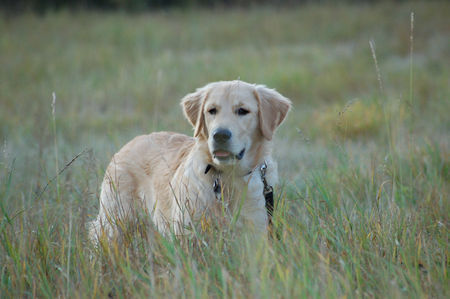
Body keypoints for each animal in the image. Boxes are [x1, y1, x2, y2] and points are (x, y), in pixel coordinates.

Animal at [89, 81, 292, 243]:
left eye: (243, 111)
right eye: (211, 111)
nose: (220, 135)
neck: (227, 176)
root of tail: (128, 143)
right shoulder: (186, 232)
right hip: (115, 220)